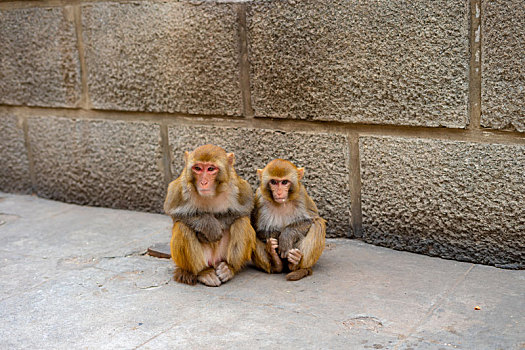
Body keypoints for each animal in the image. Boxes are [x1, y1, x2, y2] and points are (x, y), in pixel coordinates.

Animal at [163, 144, 255, 288]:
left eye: (211, 169)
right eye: (198, 168)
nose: (204, 182)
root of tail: (214, 261)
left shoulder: (236, 186)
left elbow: (245, 209)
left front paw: (219, 224)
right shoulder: (182, 186)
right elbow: (173, 211)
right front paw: (209, 227)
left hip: (222, 255)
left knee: (241, 222)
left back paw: (229, 268)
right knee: (182, 226)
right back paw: (204, 272)